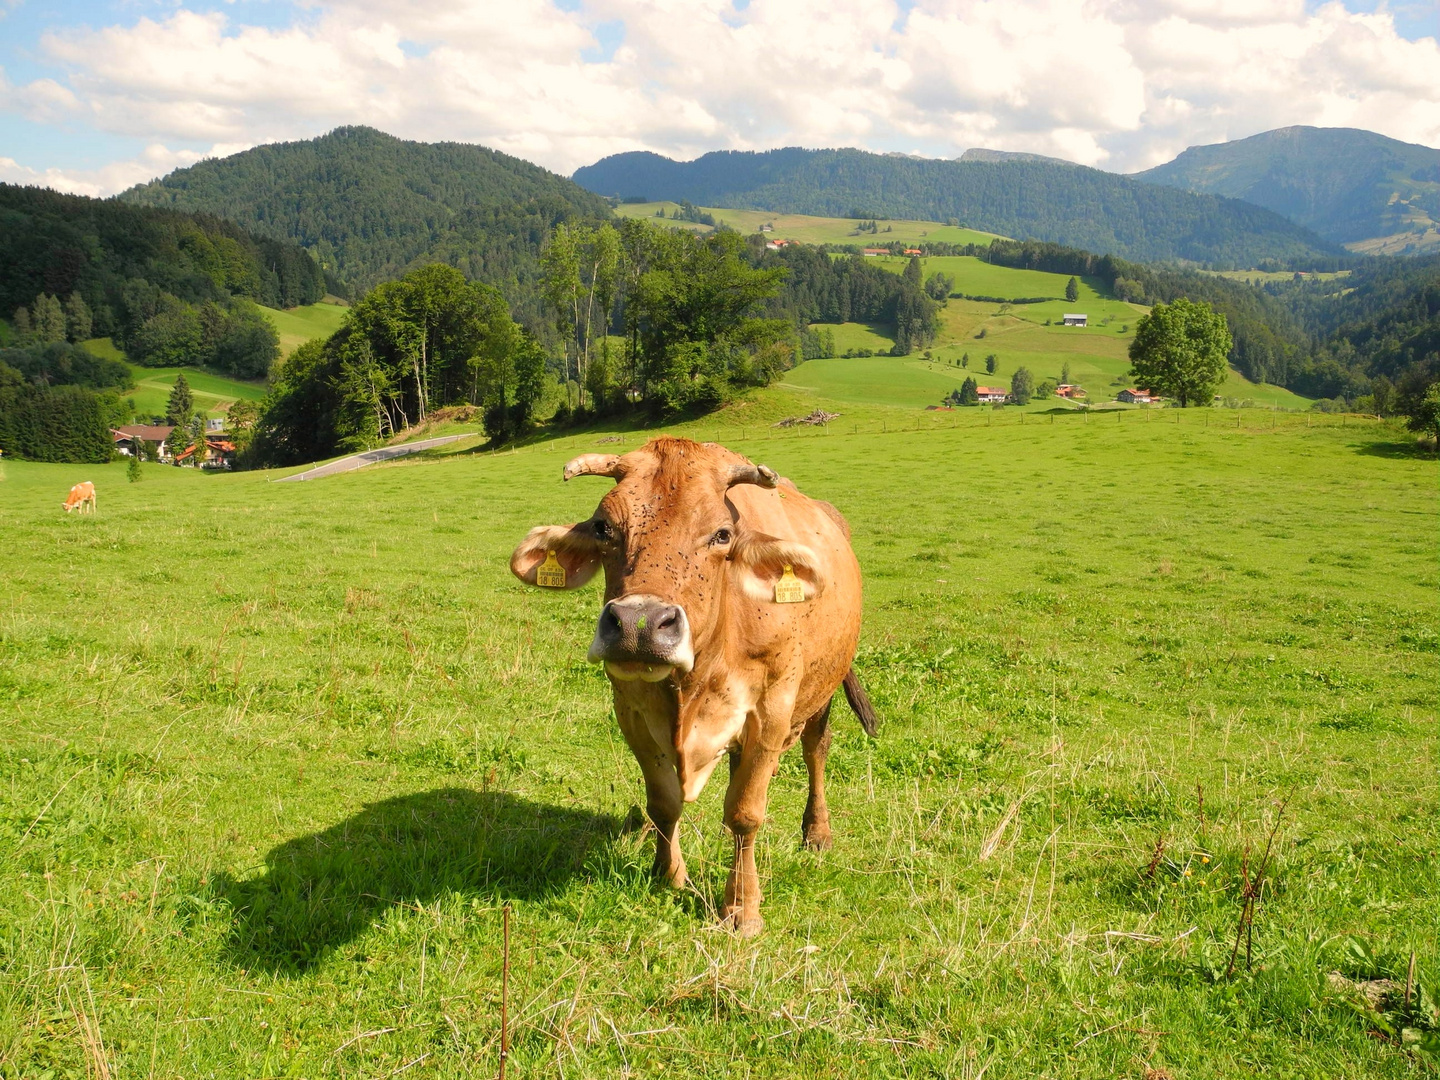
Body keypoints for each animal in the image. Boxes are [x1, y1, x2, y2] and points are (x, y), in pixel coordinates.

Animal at [518, 440, 875, 938]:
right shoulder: (630, 711)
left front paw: (742, 907)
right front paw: (667, 875)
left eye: (723, 534)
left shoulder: (772, 710)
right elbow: (664, 802)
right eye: (604, 526)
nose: (639, 625)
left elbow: (745, 812)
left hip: (821, 690)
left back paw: (817, 832)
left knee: (816, 751)